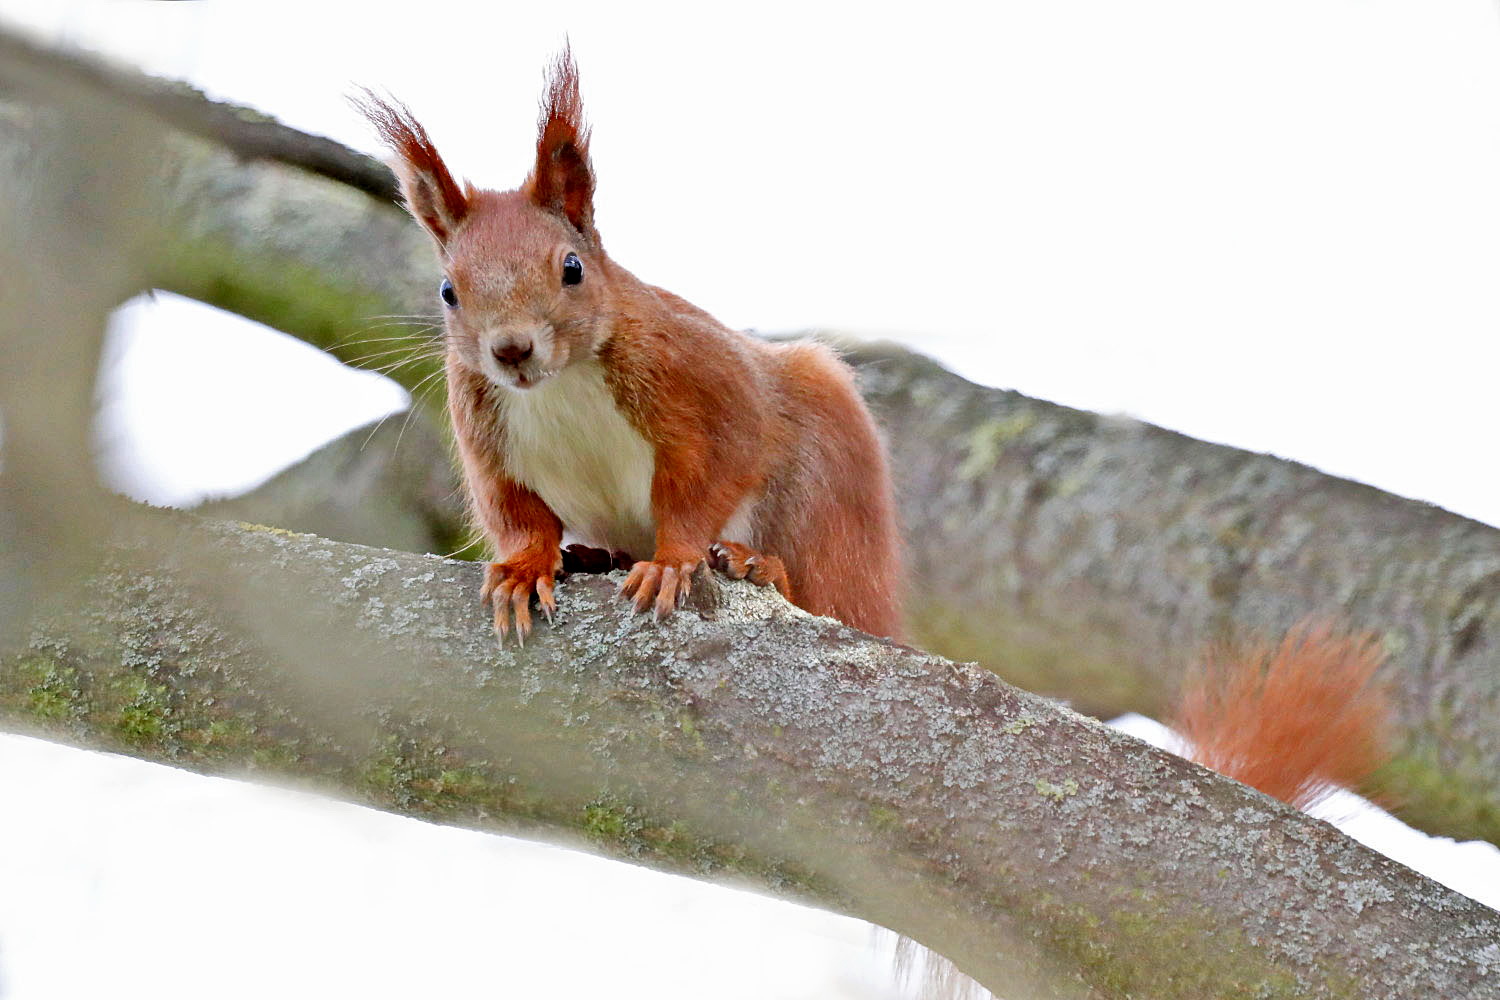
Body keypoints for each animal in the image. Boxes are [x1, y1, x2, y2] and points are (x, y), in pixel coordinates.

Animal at [360, 50, 900, 641]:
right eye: (448, 291)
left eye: (572, 268)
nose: (511, 349)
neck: (562, 382)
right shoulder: (485, 436)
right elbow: (515, 513)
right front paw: (523, 569)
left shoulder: (704, 381)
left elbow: (712, 476)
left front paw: (671, 562)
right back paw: (596, 556)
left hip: (829, 506)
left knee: (824, 589)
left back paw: (760, 565)